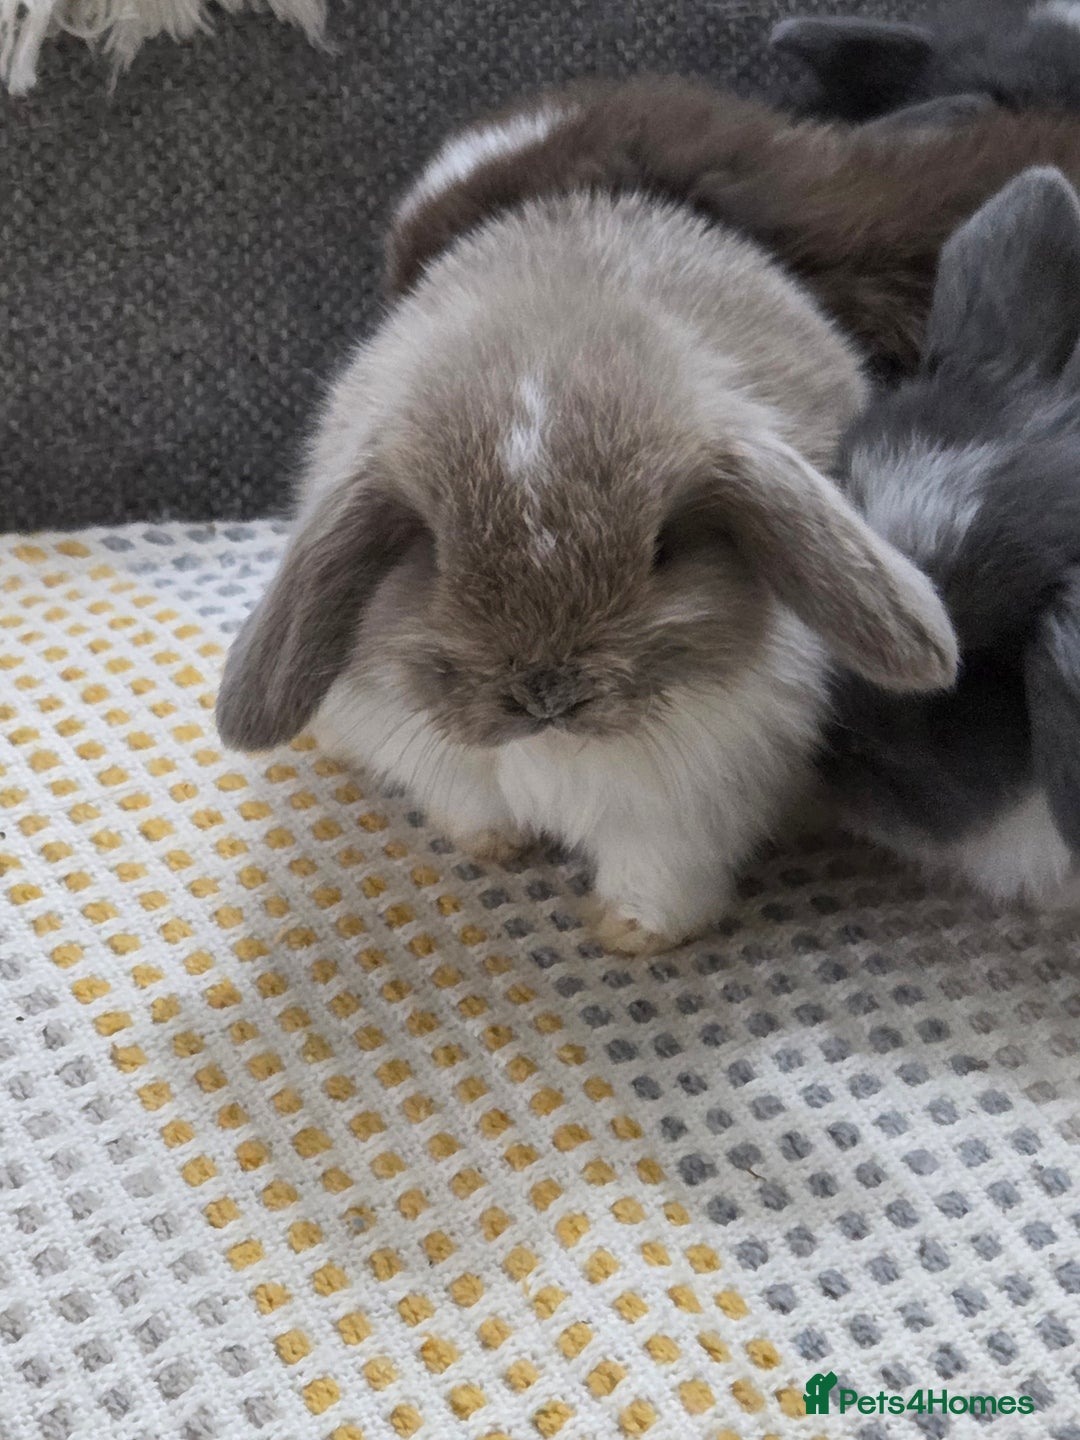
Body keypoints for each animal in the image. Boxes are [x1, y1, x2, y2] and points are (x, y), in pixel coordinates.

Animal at [216, 163, 957, 955]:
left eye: (663, 547)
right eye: (434, 552)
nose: (548, 692)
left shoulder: (683, 813)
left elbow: (656, 875)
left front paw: (629, 935)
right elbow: (474, 810)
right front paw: (496, 848)